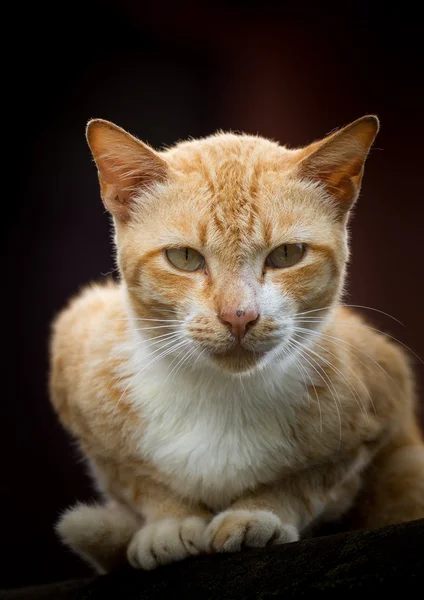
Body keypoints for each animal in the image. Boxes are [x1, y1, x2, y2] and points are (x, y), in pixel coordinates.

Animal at [49, 116, 424, 572]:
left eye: (287, 254)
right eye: (184, 258)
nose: (239, 316)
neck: (222, 393)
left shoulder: (380, 403)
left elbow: (309, 481)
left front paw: (259, 513)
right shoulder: (78, 376)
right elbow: (140, 482)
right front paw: (170, 523)